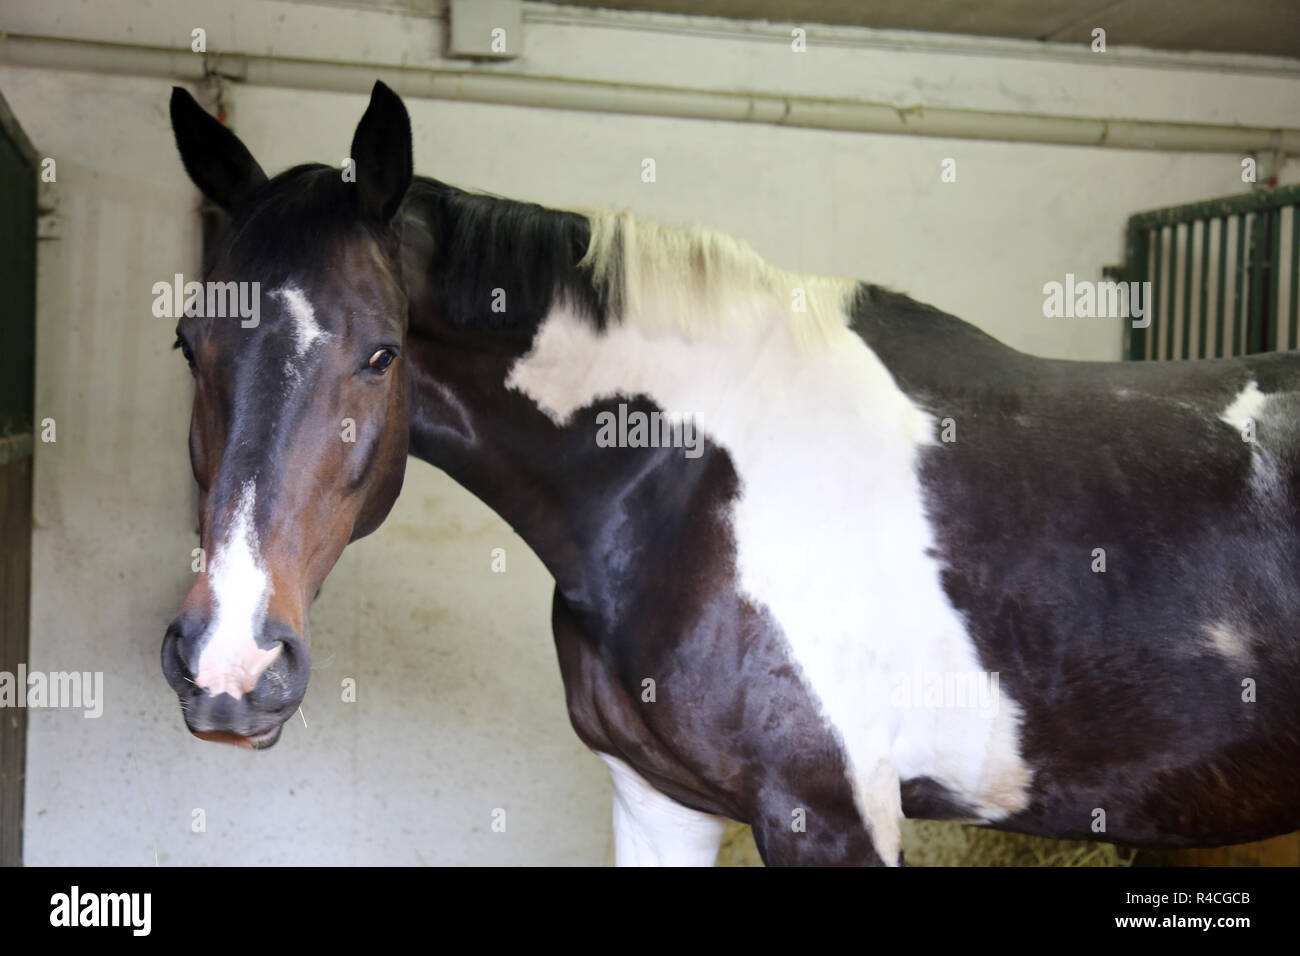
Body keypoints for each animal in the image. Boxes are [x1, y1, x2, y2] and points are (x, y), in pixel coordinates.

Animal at [162, 82, 1300, 868]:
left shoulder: (828, 813)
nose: (231, 665)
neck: (690, 482)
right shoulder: (658, 800)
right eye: (186, 343)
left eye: (379, 353)